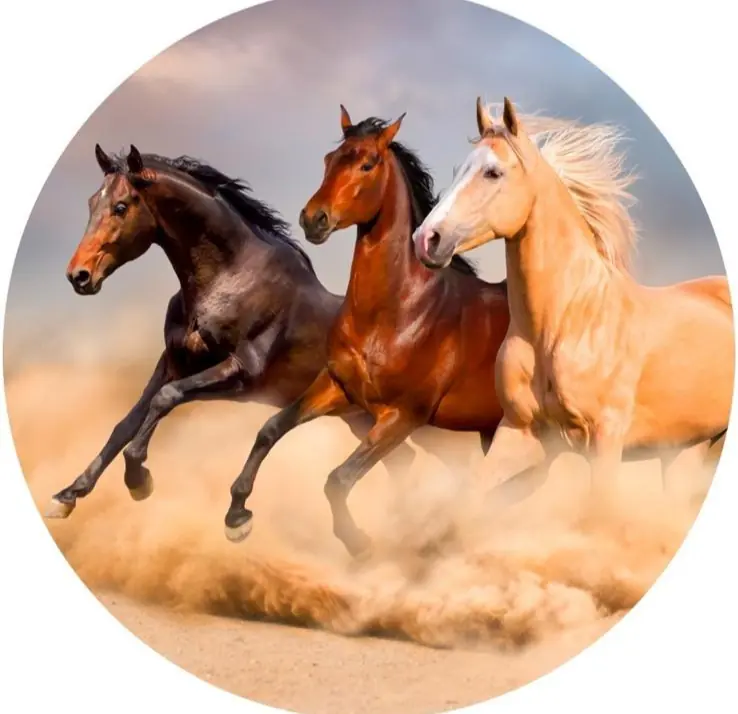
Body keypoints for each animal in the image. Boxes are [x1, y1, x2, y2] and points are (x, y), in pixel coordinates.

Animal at [44, 144, 464, 520]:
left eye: (121, 207)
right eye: (91, 203)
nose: (79, 276)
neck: (227, 280)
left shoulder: (240, 374)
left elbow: (165, 400)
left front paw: (139, 480)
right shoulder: (173, 363)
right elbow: (127, 423)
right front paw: (68, 495)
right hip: (361, 419)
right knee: (402, 460)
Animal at [223, 106, 510, 557]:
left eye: (367, 163)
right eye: (329, 159)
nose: (314, 219)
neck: (398, 313)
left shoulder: (402, 417)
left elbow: (338, 479)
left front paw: (360, 543)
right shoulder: (338, 388)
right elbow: (271, 429)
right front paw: (237, 517)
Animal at [413, 97, 733, 505]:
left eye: (492, 173)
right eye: (458, 170)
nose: (426, 239)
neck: (565, 323)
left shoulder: (605, 440)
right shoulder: (518, 432)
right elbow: (471, 498)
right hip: (686, 450)